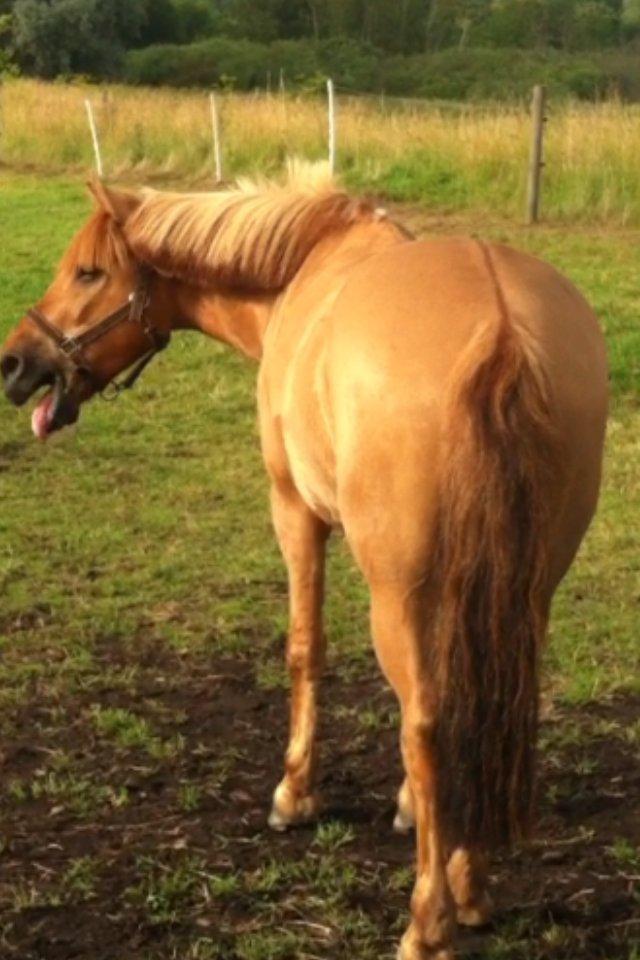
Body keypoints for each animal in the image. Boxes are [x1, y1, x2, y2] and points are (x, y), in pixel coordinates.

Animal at [0, 165, 608, 960]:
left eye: (88, 272)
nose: (15, 363)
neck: (304, 267)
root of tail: (500, 330)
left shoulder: (294, 512)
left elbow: (305, 649)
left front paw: (295, 793)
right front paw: (410, 809)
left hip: (400, 590)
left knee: (428, 722)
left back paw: (430, 920)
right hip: (526, 589)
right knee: (490, 708)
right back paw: (471, 888)